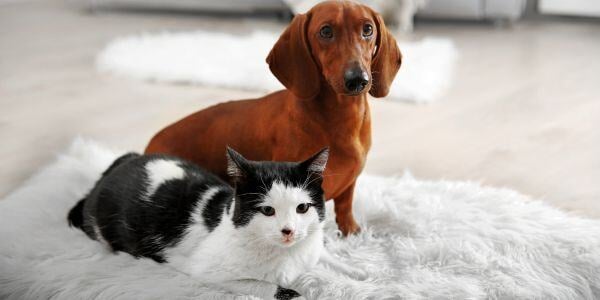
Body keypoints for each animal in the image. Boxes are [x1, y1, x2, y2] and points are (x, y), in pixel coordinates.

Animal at [67, 146, 364, 298]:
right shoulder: (208, 271)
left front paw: (357, 272)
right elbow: (275, 288)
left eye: (302, 207)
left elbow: (325, 255)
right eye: (267, 211)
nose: (288, 231)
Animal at [144, 1, 400, 236]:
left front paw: (351, 232)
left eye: (367, 29)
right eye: (326, 31)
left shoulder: (348, 186)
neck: (340, 118)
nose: (358, 79)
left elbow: (345, 206)